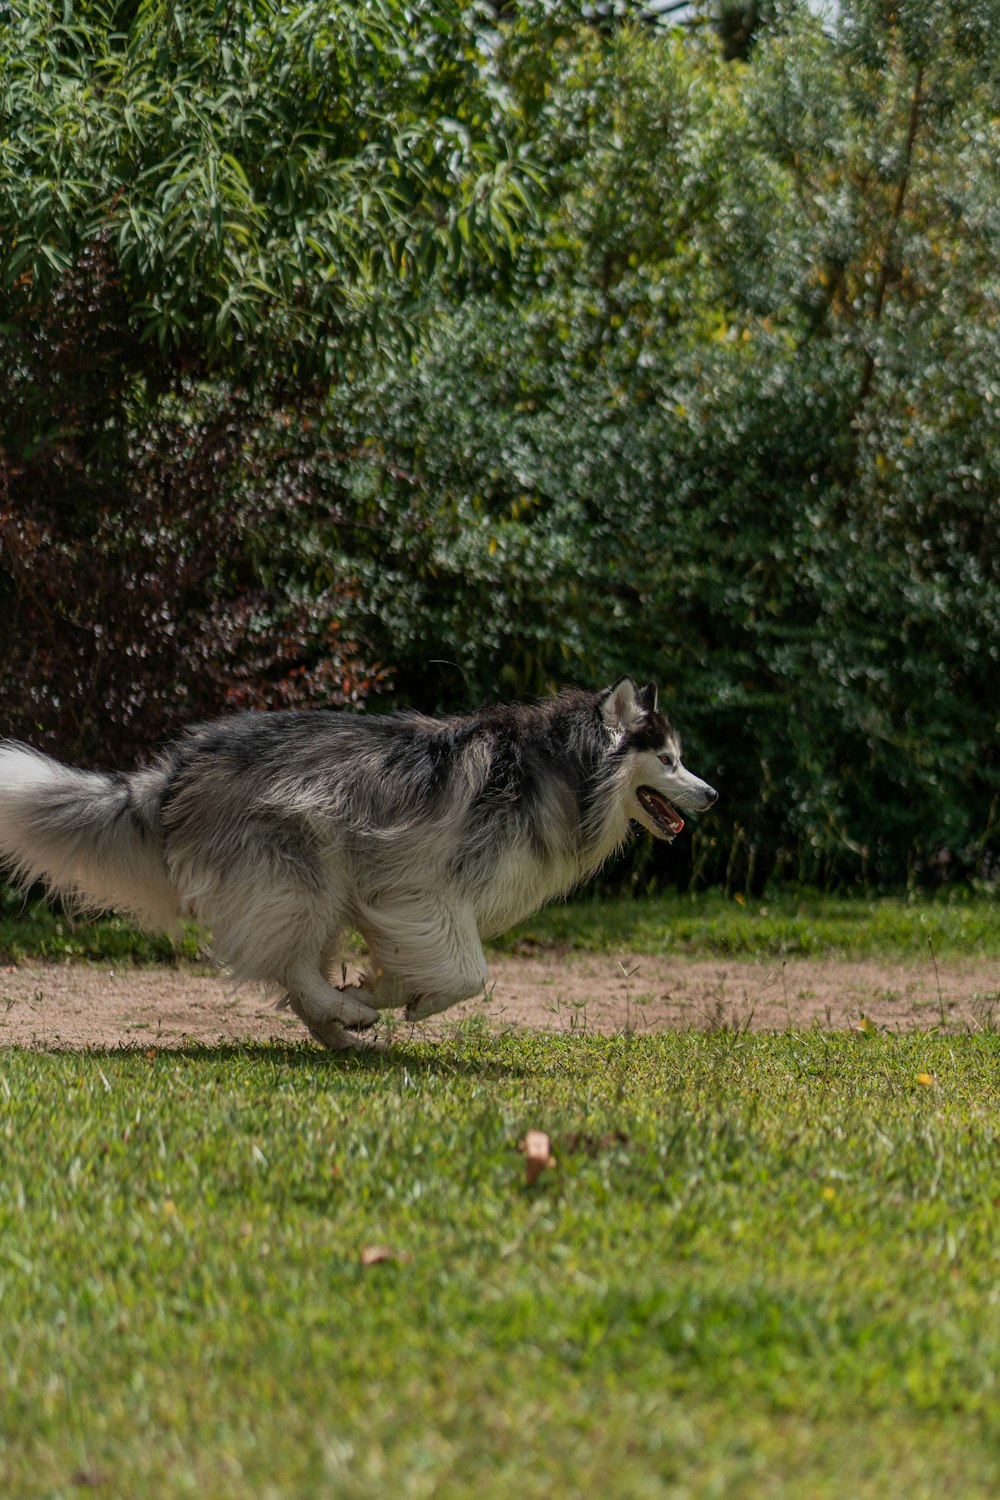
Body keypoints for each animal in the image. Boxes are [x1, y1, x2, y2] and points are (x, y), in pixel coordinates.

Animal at [0, 675, 719, 1050]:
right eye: (669, 760)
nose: (712, 794)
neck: (559, 769)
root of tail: (176, 768)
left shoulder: (411, 907)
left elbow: (420, 972)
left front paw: (377, 991)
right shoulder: (422, 892)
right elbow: (470, 975)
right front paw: (392, 1002)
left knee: (292, 971)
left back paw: (340, 1031)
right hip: (301, 870)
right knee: (288, 962)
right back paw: (344, 1019)